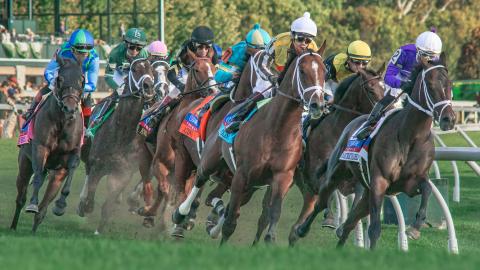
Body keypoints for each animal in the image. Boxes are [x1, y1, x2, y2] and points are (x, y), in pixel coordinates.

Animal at [10, 56, 84, 231]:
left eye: (81, 80)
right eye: (60, 79)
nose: (69, 108)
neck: (62, 122)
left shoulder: (73, 153)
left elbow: (71, 169)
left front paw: (60, 205)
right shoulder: (40, 148)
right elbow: (37, 176)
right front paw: (32, 204)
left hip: (56, 175)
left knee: (43, 208)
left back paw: (35, 229)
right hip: (24, 163)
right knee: (20, 198)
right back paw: (14, 226)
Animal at [77, 57, 154, 234]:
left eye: (151, 70)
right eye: (135, 69)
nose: (149, 87)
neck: (121, 132)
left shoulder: (123, 173)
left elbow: (108, 204)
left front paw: (100, 228)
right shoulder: (98, 164)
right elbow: (91, 195)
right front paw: (85, 205)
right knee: (87, 172)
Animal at [294, 53, 456, 250]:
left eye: (450, 85)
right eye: (431, 85)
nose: (449, 119)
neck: (411, 136)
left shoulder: (410, 183)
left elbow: (427, 189)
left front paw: (415, 227)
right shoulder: (379, 181)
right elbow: (374, 229)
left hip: (366, 192)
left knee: (350, 222)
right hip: (335, 175)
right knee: (322, 201)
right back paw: (303, 229)